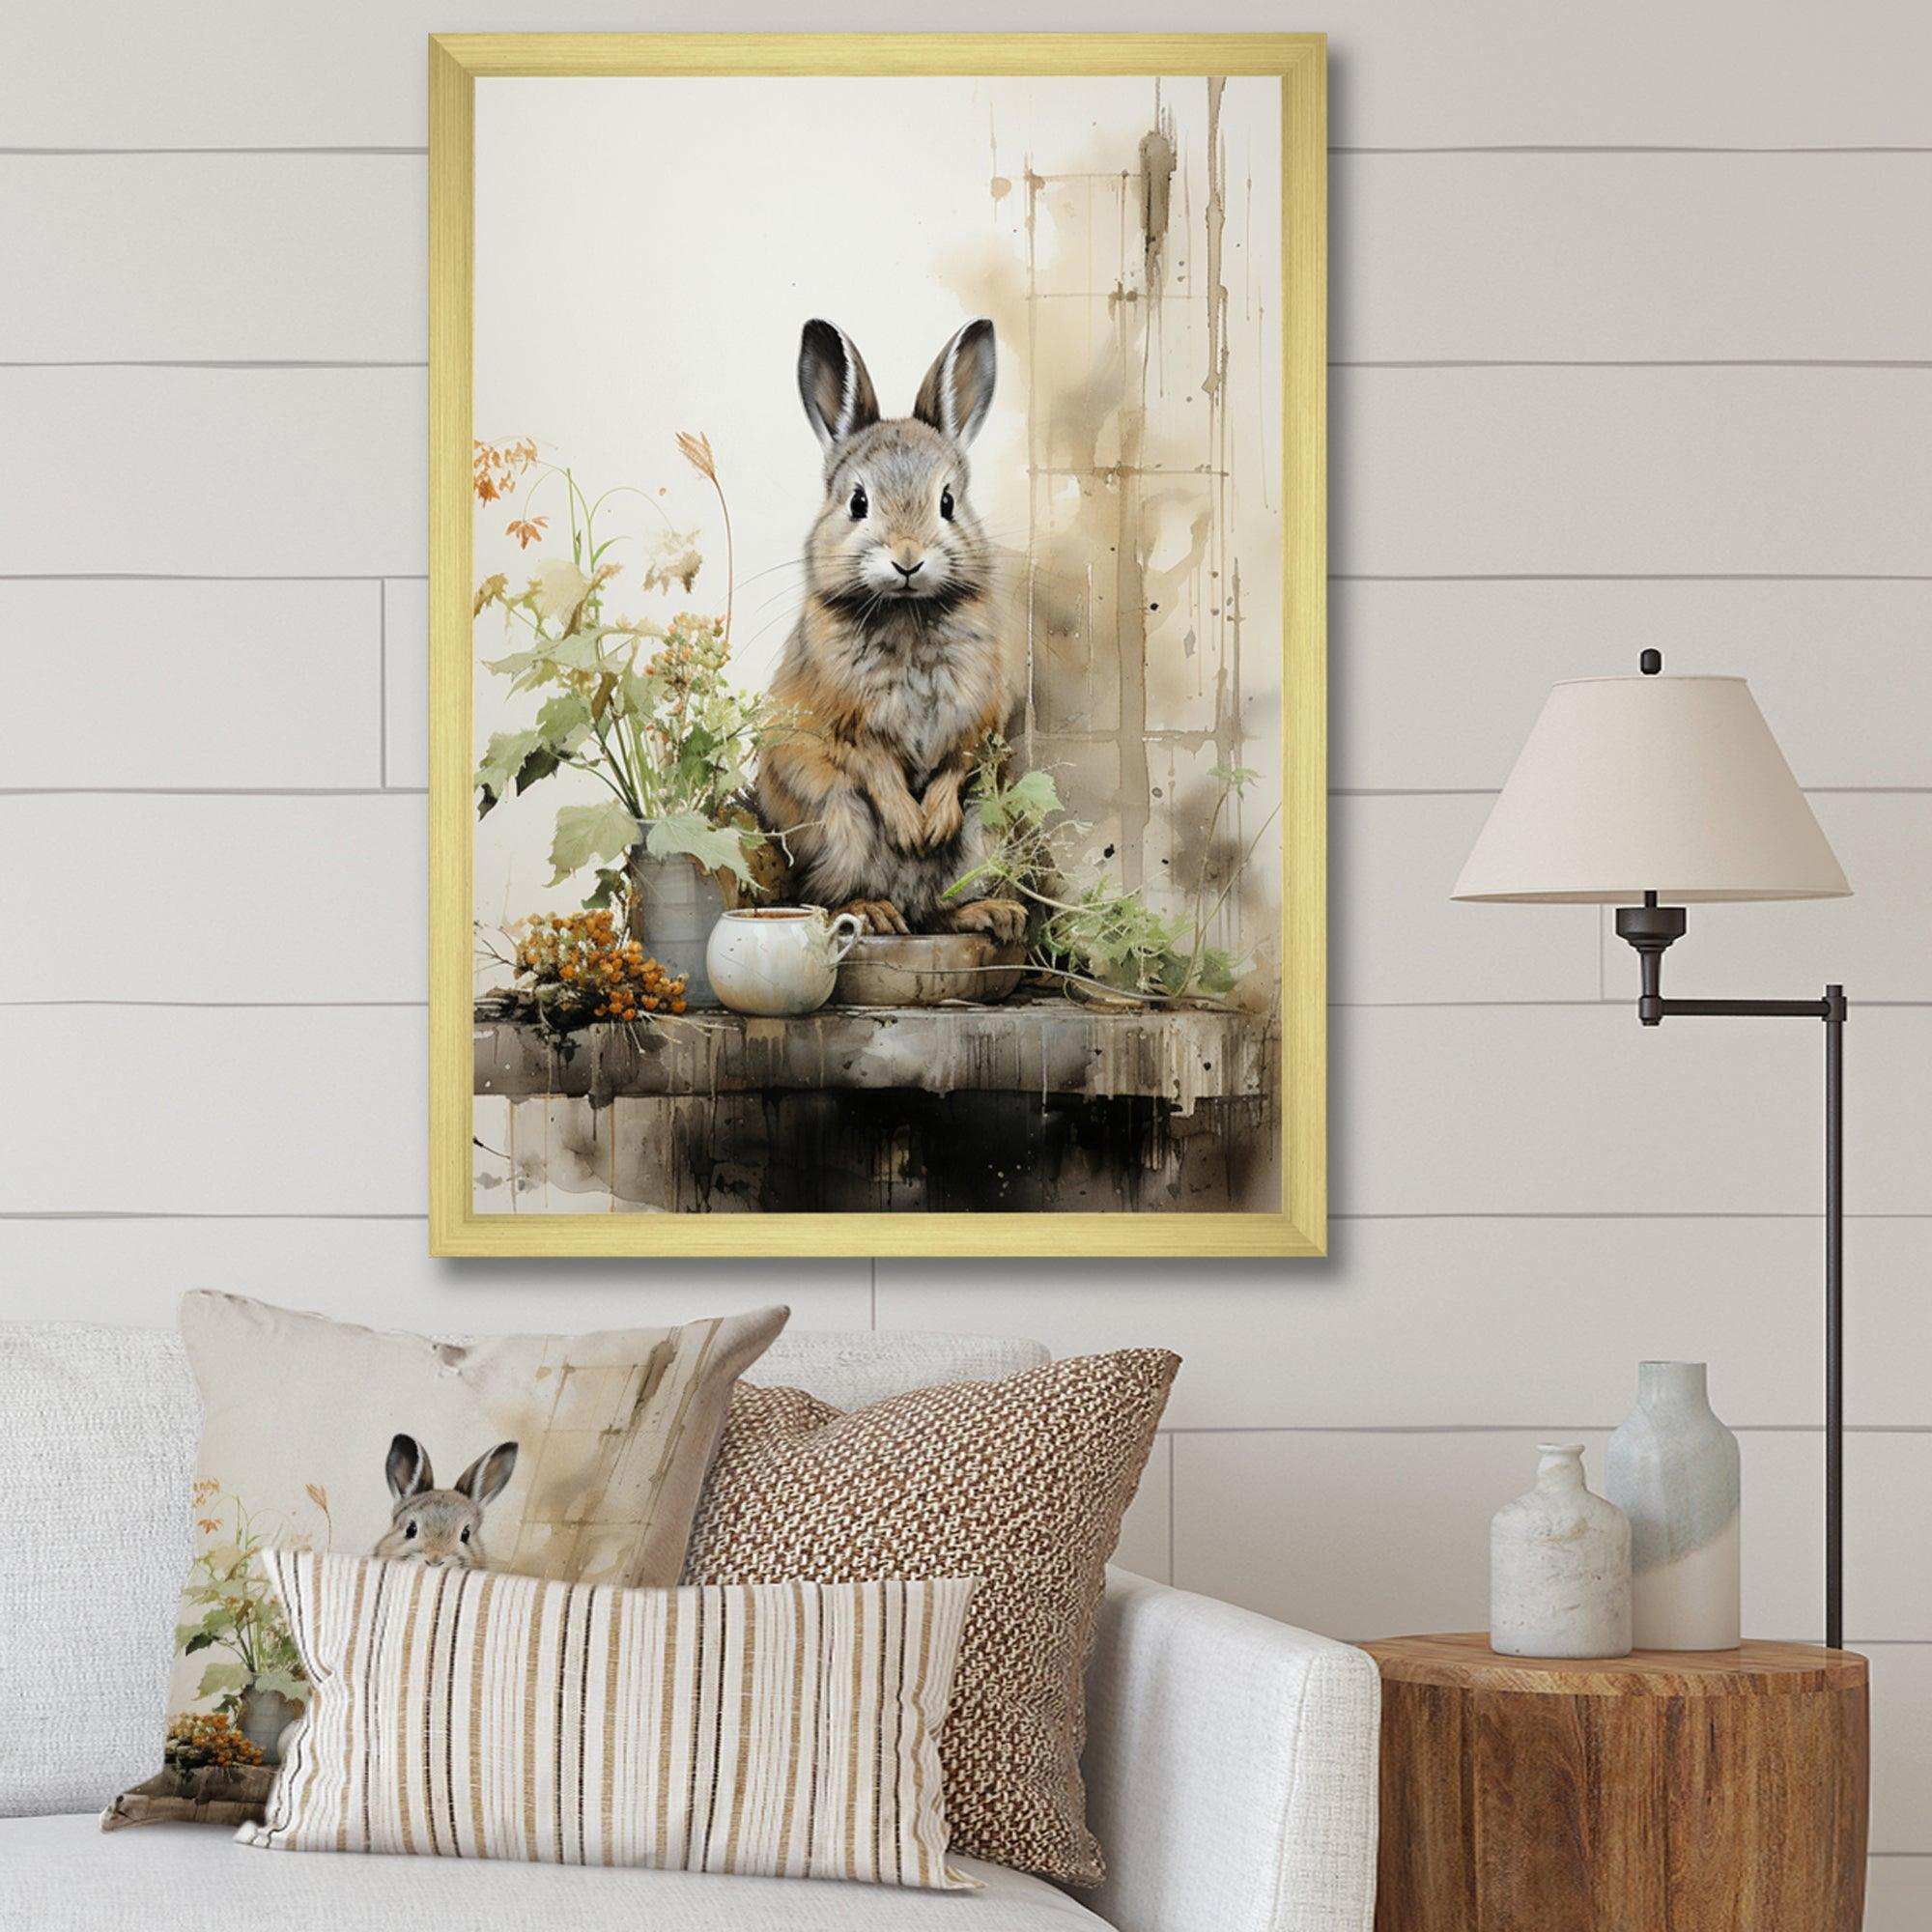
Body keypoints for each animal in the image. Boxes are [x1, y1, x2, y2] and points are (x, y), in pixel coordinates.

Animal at [754, 317, 1028, 942]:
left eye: (948, 502)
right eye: (858, 502)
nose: (907, 559)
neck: (906, 613)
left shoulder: (978, 717)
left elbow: (955, 763)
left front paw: (933, 824)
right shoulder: (844, 725)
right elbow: (875, 766)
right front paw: (910, 826)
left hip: (985, 832)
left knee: (938, 909)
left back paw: (993, 914)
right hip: (838, 823)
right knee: (829, 896)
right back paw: (876, 912)